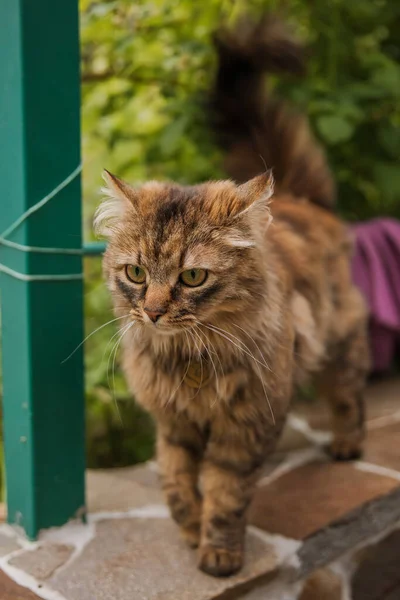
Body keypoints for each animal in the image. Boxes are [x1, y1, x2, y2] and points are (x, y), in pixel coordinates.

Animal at [94, 12, 368, 576]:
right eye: (135, 273)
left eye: (192, 278)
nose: (153, 312)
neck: (189, 361)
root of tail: (299, 200)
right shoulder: (172, 425)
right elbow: (177, 485)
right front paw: (189, 529)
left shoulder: (246, 427)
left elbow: (225, 493)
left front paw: (219, 551)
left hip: (338, 338)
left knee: (348, 387)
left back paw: (348, 443)